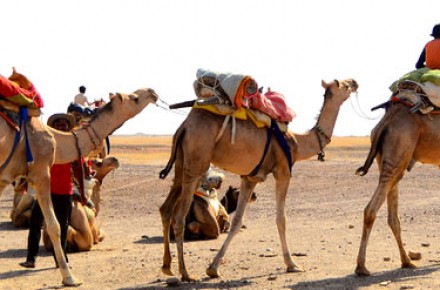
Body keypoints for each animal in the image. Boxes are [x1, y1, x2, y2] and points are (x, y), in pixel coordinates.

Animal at [0, 67, 158, 286]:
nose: (152, 92)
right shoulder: (41, 172)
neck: (57, 139)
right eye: (134, 98)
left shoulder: (5, 176)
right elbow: (55, 226)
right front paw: (69, 277)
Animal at [158, 77, 358, 280]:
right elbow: (281, 219)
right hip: (196, 164)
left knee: (165, 209)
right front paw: (292, 264)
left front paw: (213, 268)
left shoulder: (250, 178)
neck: (298, 142)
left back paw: (167, 267)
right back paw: (186, 273)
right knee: (179, 218)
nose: (354, 82)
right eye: (343, 85)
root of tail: (184, 127)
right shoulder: (283, 171)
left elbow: (237, 221)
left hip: (181, 163)